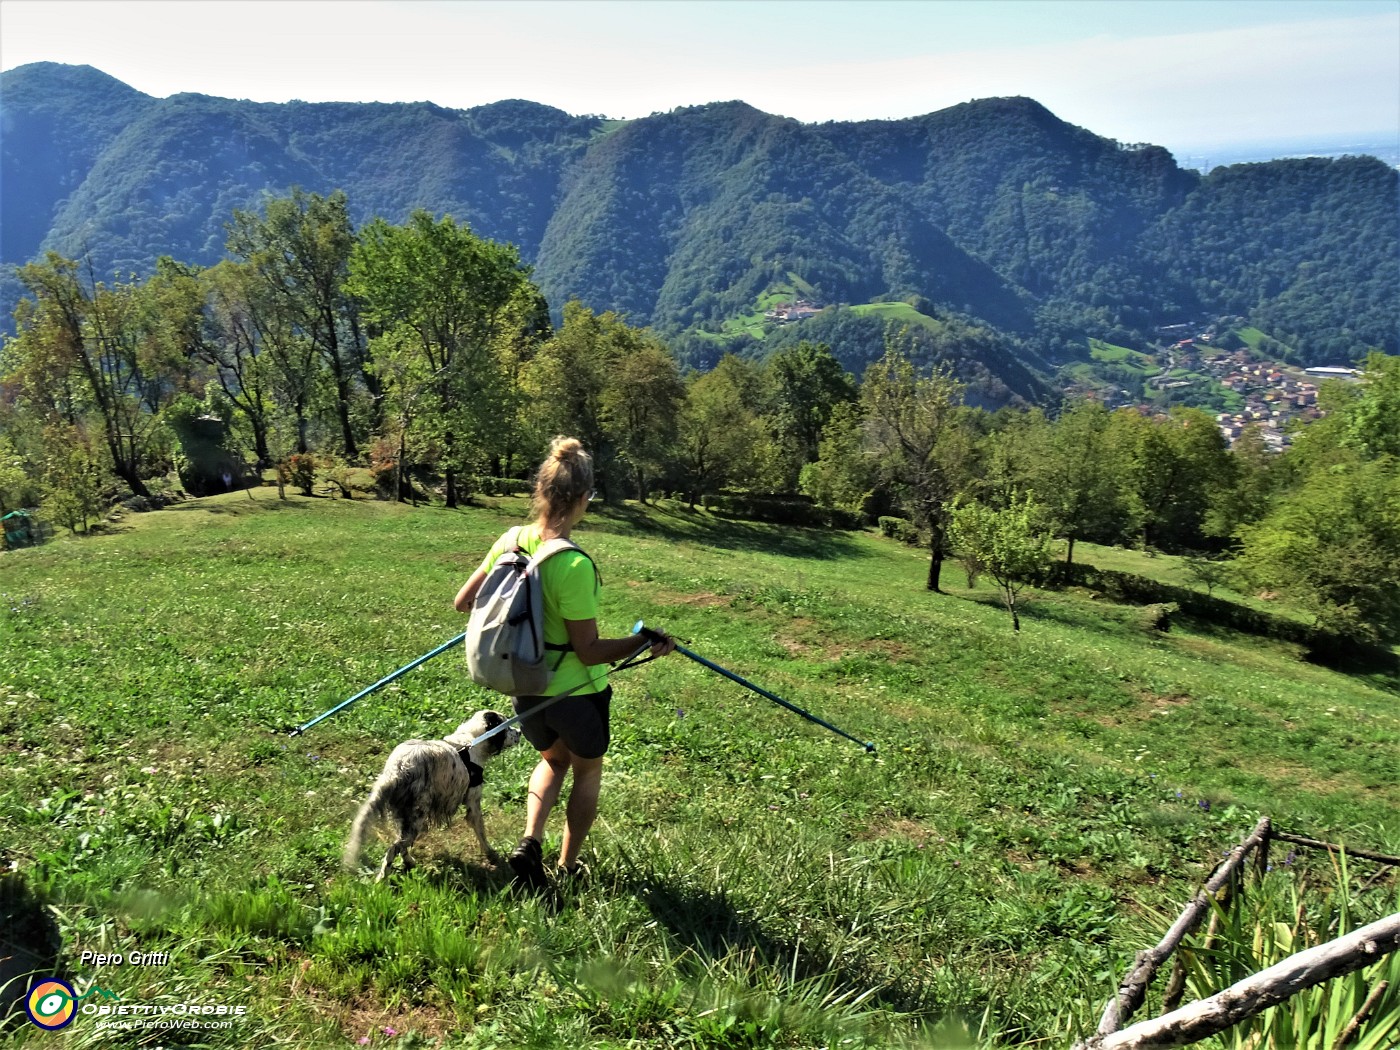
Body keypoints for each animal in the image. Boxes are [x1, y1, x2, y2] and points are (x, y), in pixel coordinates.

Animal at [343, 716, 520, 879]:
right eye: (506, 726)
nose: (519, 732)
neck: (471, 740)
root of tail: (397, 770)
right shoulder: (473, 803)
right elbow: (481, 832)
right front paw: (491, 854)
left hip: (405, 818)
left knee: (401, 845)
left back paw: (409, 862)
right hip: (417, 818)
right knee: (394, 848)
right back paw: (382, 878)